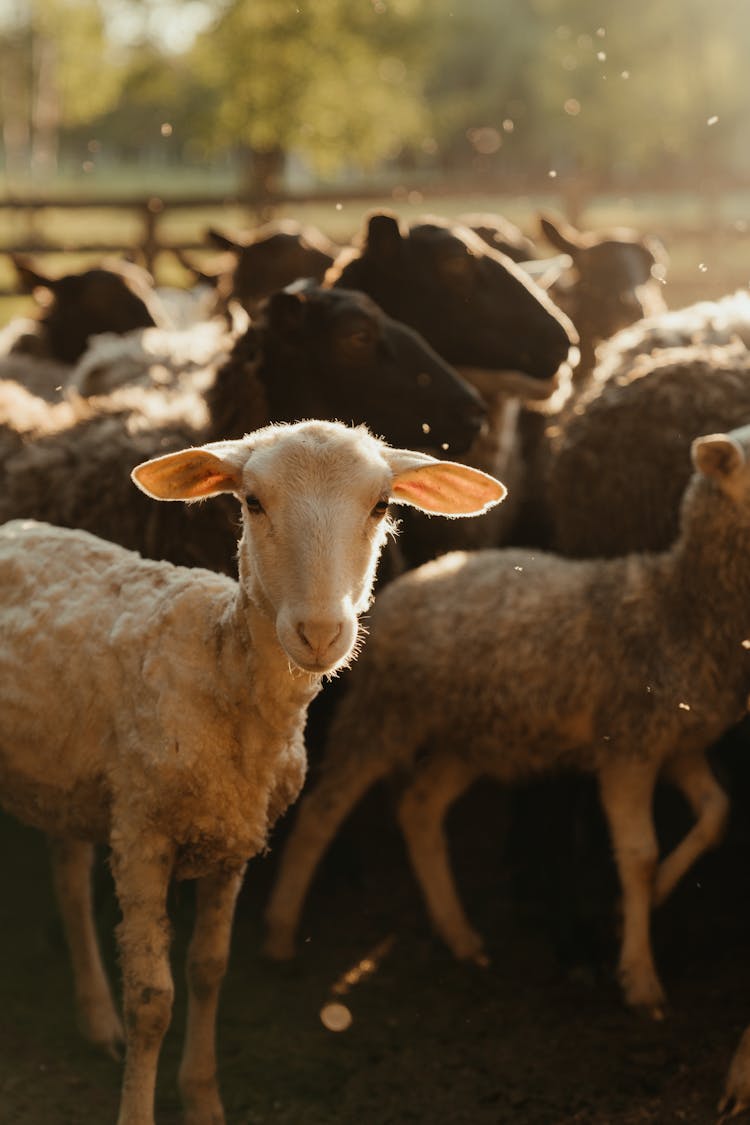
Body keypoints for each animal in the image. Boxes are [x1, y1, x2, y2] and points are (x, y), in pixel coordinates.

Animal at [0, 423, 508, 1125]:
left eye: (381, 505)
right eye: (253, 502)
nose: (319, 632)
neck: (222, 666)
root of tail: (13, 527)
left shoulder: (231, 841)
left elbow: (208, 970)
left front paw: (202, 1098)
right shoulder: (142, 836)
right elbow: (152, 1001)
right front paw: (140, 1106)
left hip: (69, 780)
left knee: (70, 882)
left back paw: (96, 1020)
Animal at [263, 423, 750, 1021]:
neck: (682, 607)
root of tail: (413, 579)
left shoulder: (680, 743)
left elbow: (716, 815)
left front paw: (651, 898)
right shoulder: (628, 747)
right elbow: (638, 856)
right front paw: (639, 975)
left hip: (472, 736)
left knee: (419, 807)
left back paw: (459, 935)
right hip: (383, 714)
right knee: (322, 813)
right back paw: (281, 931)